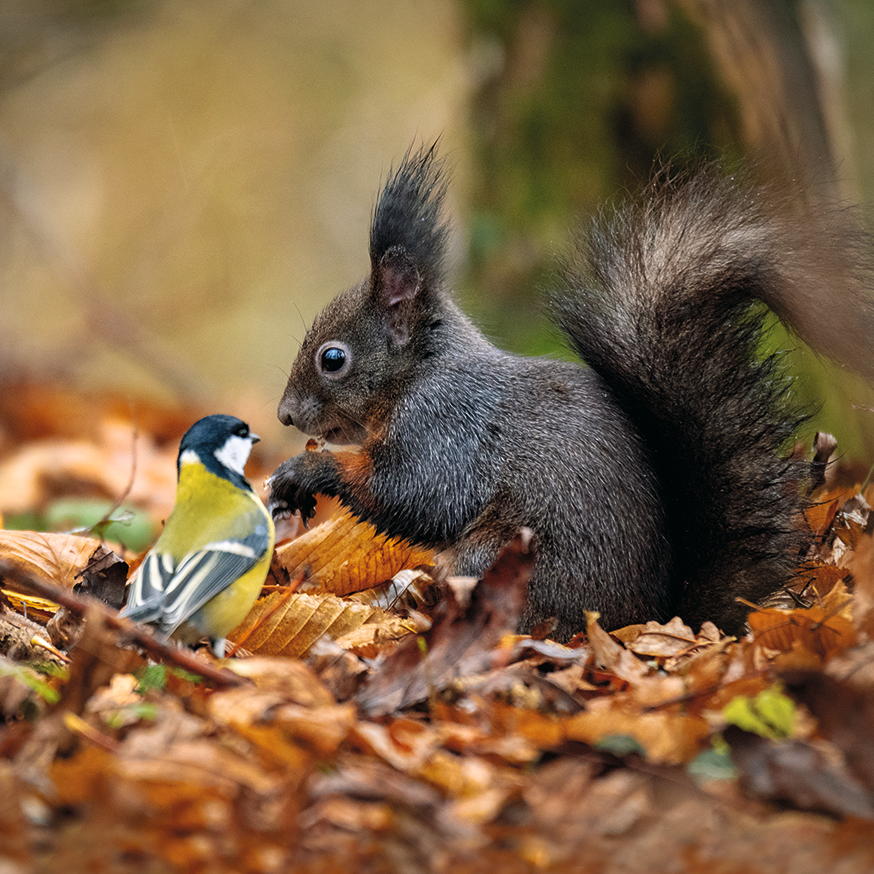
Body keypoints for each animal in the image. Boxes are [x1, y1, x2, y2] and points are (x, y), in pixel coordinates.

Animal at [268, 141, 872, 632]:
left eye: (333, 359)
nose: (285, 415)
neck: (422, 371)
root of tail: (651, 617)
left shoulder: (447, 427)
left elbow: (416, 494)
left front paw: (308, 470)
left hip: (503, 557)